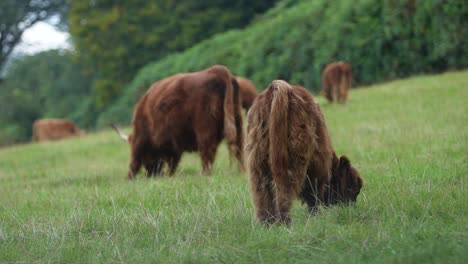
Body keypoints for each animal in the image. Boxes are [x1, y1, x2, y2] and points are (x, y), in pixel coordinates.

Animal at [114, 64, 245, 178]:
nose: (152, 175)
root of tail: (218, 70)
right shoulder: (173, 145)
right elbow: (173, 163)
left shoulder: (142, 140)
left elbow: (135, 161)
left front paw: (129, 178)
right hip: (237, 120)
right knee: (239, 147)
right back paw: (242, 172)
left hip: (204, 128)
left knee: (208, 151)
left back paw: (204, 174)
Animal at [245, 80, 362, 225]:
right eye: (354, 188)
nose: (352, 207)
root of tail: (275, 88)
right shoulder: (317, 167)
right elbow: (313, 195)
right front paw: (316, 217)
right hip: (293, 159)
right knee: (283, 193)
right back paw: (284, 223)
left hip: (257, 163)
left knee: (261, 195)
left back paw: (267, 223)